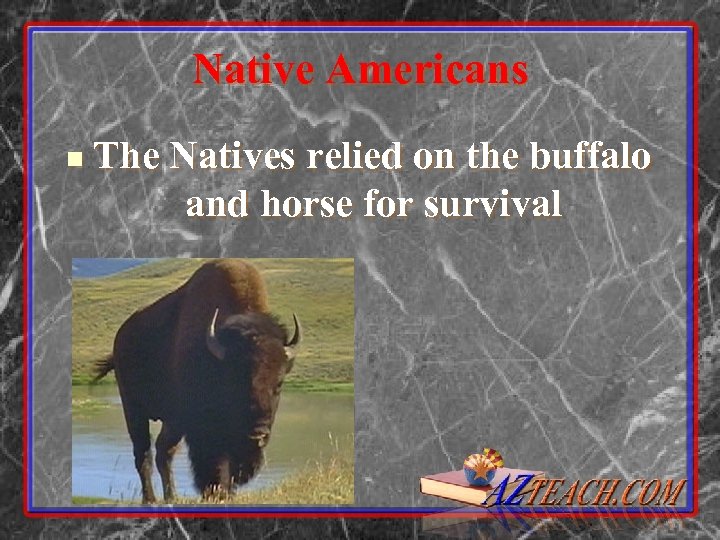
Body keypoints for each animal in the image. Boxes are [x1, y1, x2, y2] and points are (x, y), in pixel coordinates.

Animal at [92, 259, 301, 503]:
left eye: (278, 384)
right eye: (236, 382)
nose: (258, 434)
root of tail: (121, 337)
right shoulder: (200, 426)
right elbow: (214, 462)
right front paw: (215, 492)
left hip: (172, 420)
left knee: (163, 452)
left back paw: (171, 497)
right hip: (134, 409)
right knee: (143, 453)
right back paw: (151, 500)